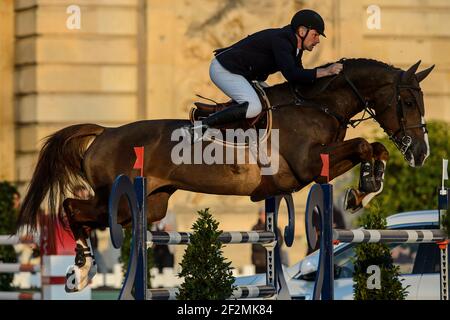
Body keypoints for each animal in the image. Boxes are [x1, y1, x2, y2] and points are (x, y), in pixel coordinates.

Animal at [16, 58, 432, 292]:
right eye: (406, 101)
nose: (422, 152)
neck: (318, 105)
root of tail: (104, 132)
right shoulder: (310, 165)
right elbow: (363, 144)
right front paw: (364, 187)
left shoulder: (316, 169)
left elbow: (373, 148)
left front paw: (365, 188)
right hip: (114, 199)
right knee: (72, 208)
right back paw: (79, 270)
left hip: (148, 206)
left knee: (90, 213)